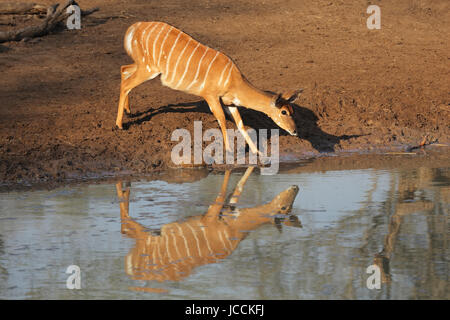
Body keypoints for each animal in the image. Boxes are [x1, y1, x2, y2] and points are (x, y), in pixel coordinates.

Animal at [115, 21, 302, 154]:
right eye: (283, 112)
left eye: (292, 110)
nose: (294, 131)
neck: (233, 79)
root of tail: (134, 27)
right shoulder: (210, 96)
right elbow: (221, 119)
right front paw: (229, 150)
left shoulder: (229, 102)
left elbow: (240, 123)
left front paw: (258, 153)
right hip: (148, 68)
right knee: (125, 84)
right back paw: (119, 125)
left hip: (142, 66)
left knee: (124, 69)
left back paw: (129, 111)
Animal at [116, 168, 300, 282]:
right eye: (284, 207)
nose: (296, 186)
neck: (235, 226)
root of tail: (132, 270)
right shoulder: (211, 215)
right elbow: (223, 190)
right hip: (148, 237)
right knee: (125, 226)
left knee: (126, 228)